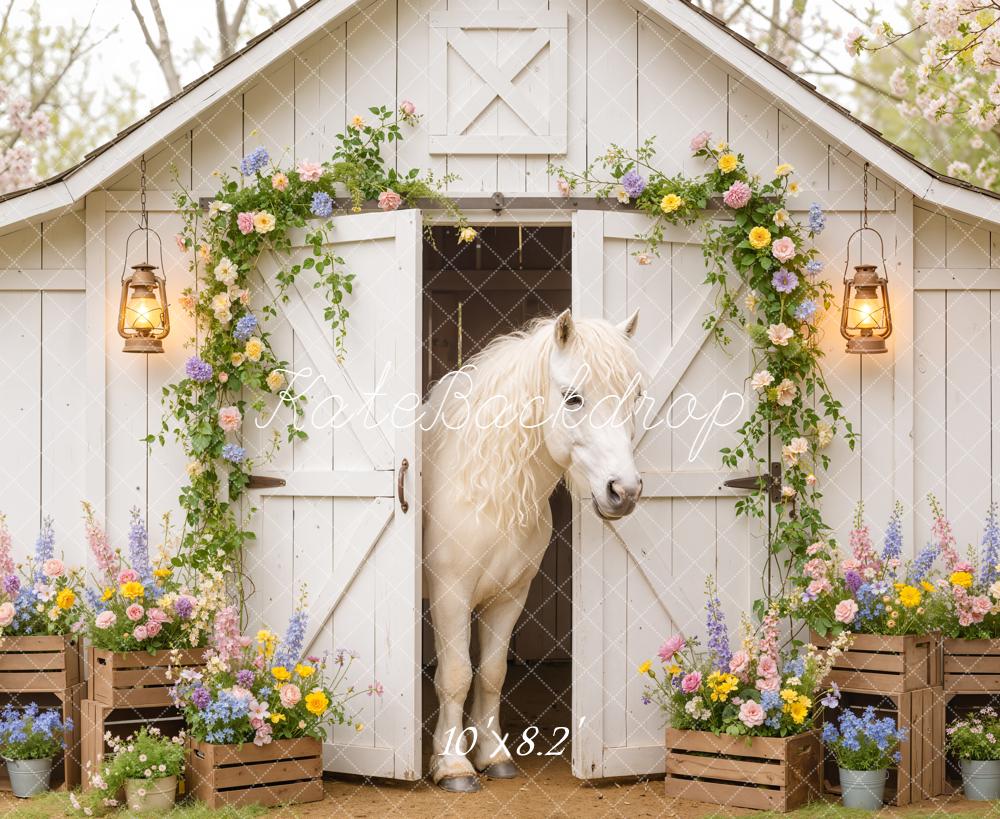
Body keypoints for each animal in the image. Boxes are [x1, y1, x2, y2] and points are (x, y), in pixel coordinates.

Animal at [422, 309, 644, 792]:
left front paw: (492, 755)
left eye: (634, 397)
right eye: (573, 398)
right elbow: (455, 675)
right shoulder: (450, 594)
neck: (486, 491)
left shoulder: (509, 597)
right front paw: (453, 765)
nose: (624, 491)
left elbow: (491, 674)